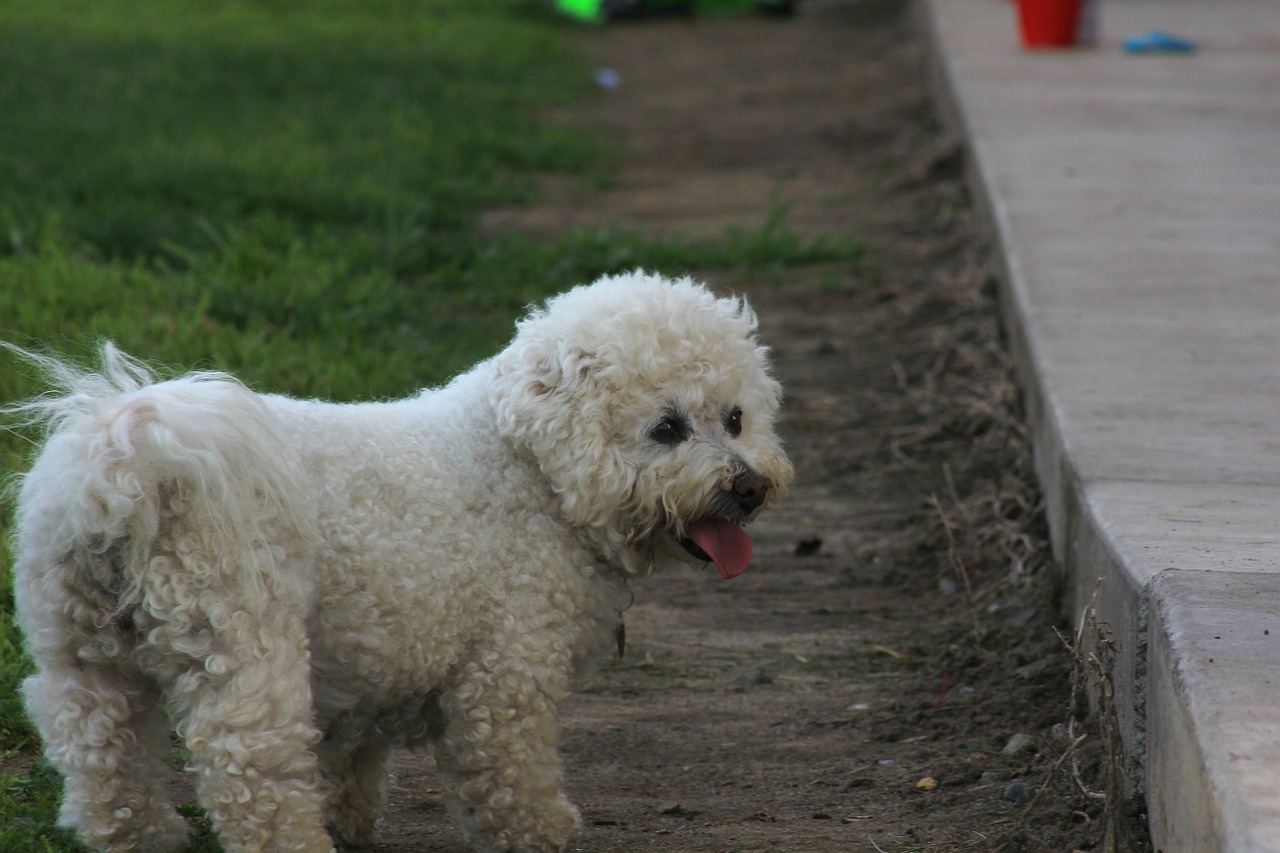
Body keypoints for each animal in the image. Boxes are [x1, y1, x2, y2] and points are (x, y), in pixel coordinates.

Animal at [7, 272, 788, 850]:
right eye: (667, 428)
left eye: (737, 418)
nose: (750, 487)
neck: (524, 465)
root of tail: (126, 460)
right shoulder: (505, 671)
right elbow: (513, 769)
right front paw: (543, 830)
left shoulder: (365, 662)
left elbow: (349, 757)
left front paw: (350, 819)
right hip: (241, 639)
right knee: (248, 767)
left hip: (80, 647)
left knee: (101, 755)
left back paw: (139, 834)